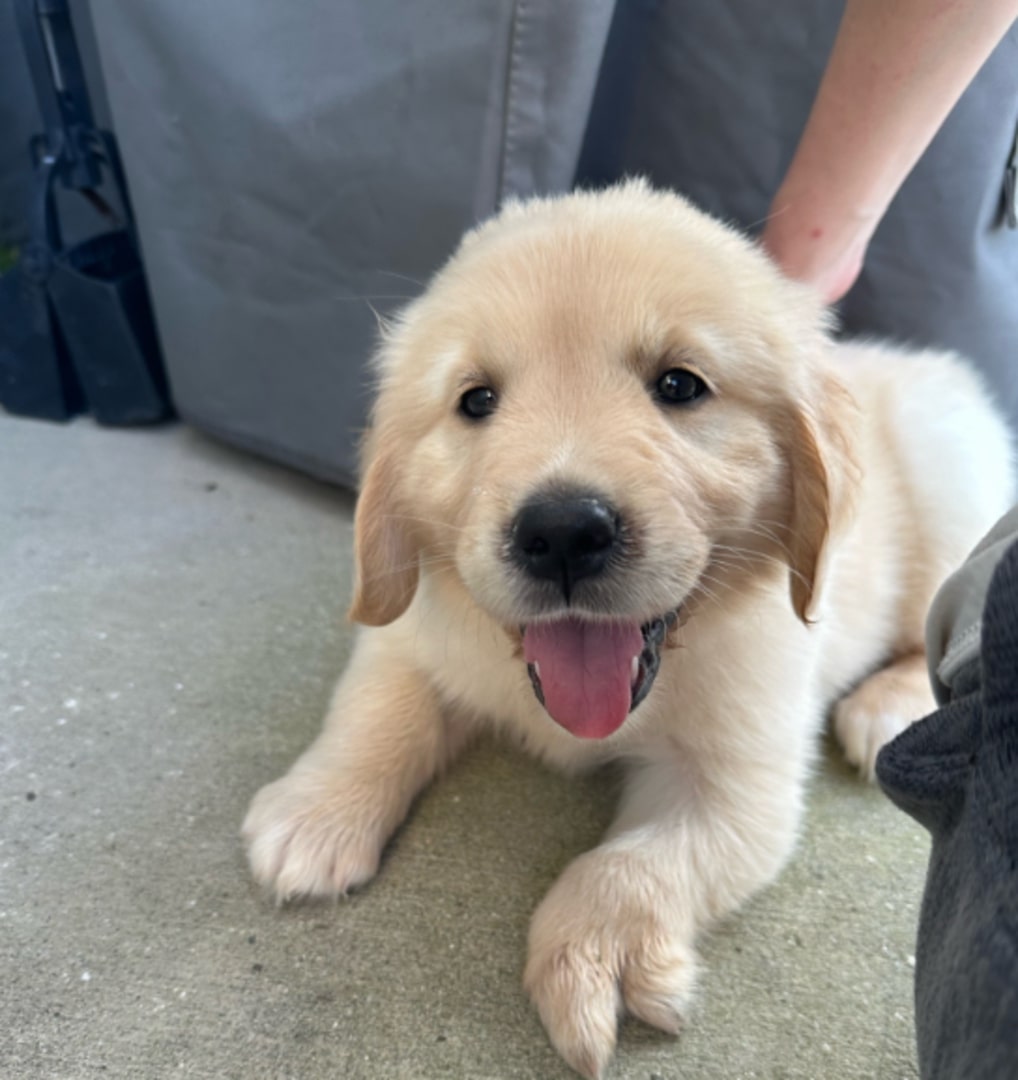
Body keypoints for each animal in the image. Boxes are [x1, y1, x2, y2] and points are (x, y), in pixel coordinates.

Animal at [242, 181, 1014, 1075]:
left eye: (679, 385)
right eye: (476, 400)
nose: (561, 532)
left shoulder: (736, 780)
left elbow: (626, 869)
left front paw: (594, 955)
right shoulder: (416, 628)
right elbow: (378, 709)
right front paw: (317, 810)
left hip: (946, 474)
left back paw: (888, 705)